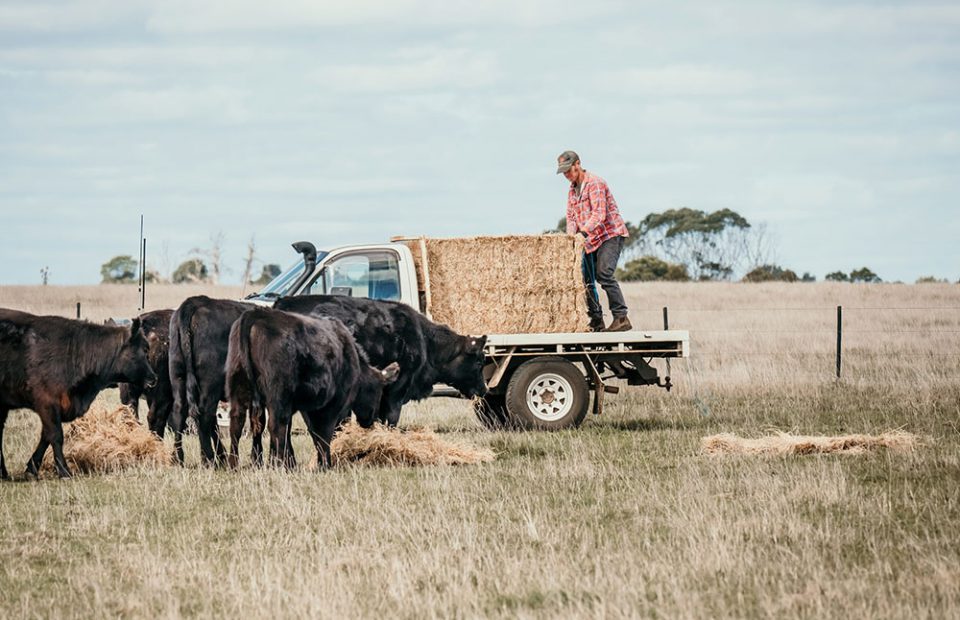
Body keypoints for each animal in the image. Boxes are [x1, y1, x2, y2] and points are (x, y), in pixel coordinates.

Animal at [0, 310, 156, 480]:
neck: (75, 351)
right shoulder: (47, 403)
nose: (154, 378)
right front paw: (64, 471)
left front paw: (31, 469)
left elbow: (45, 437)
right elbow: (55, 435)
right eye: (145, 350)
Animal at [169, 296, 251, 464]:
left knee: (180, 412)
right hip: (210, 386)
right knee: (205, 415)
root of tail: (194, 302)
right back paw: (208, 458)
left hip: (178, 378)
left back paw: (179, 457)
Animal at [225, 306, 398, 470]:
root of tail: (256, 313)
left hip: (238, 388)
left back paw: (237, 464)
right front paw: (324, 464)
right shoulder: (333, 405)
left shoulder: (301, 407)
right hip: (277, 395)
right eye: (378, 392)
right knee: (275, 425)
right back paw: (278, 464)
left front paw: (290, 463)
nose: (370, 421)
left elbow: (303, 432)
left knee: (238, 423)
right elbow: (324, 433)